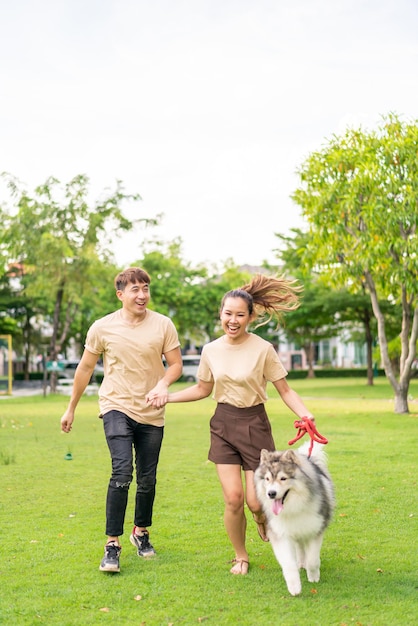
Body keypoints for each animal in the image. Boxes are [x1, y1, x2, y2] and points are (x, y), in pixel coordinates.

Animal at [253, 438, 334, 596]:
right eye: (267, 479)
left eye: (283, 478)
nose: (271, 493)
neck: (293, 508)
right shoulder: (280, 534)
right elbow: (288, 564)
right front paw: (294, 587)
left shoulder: (314, 529)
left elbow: (313, 560)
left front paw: (313, 577)